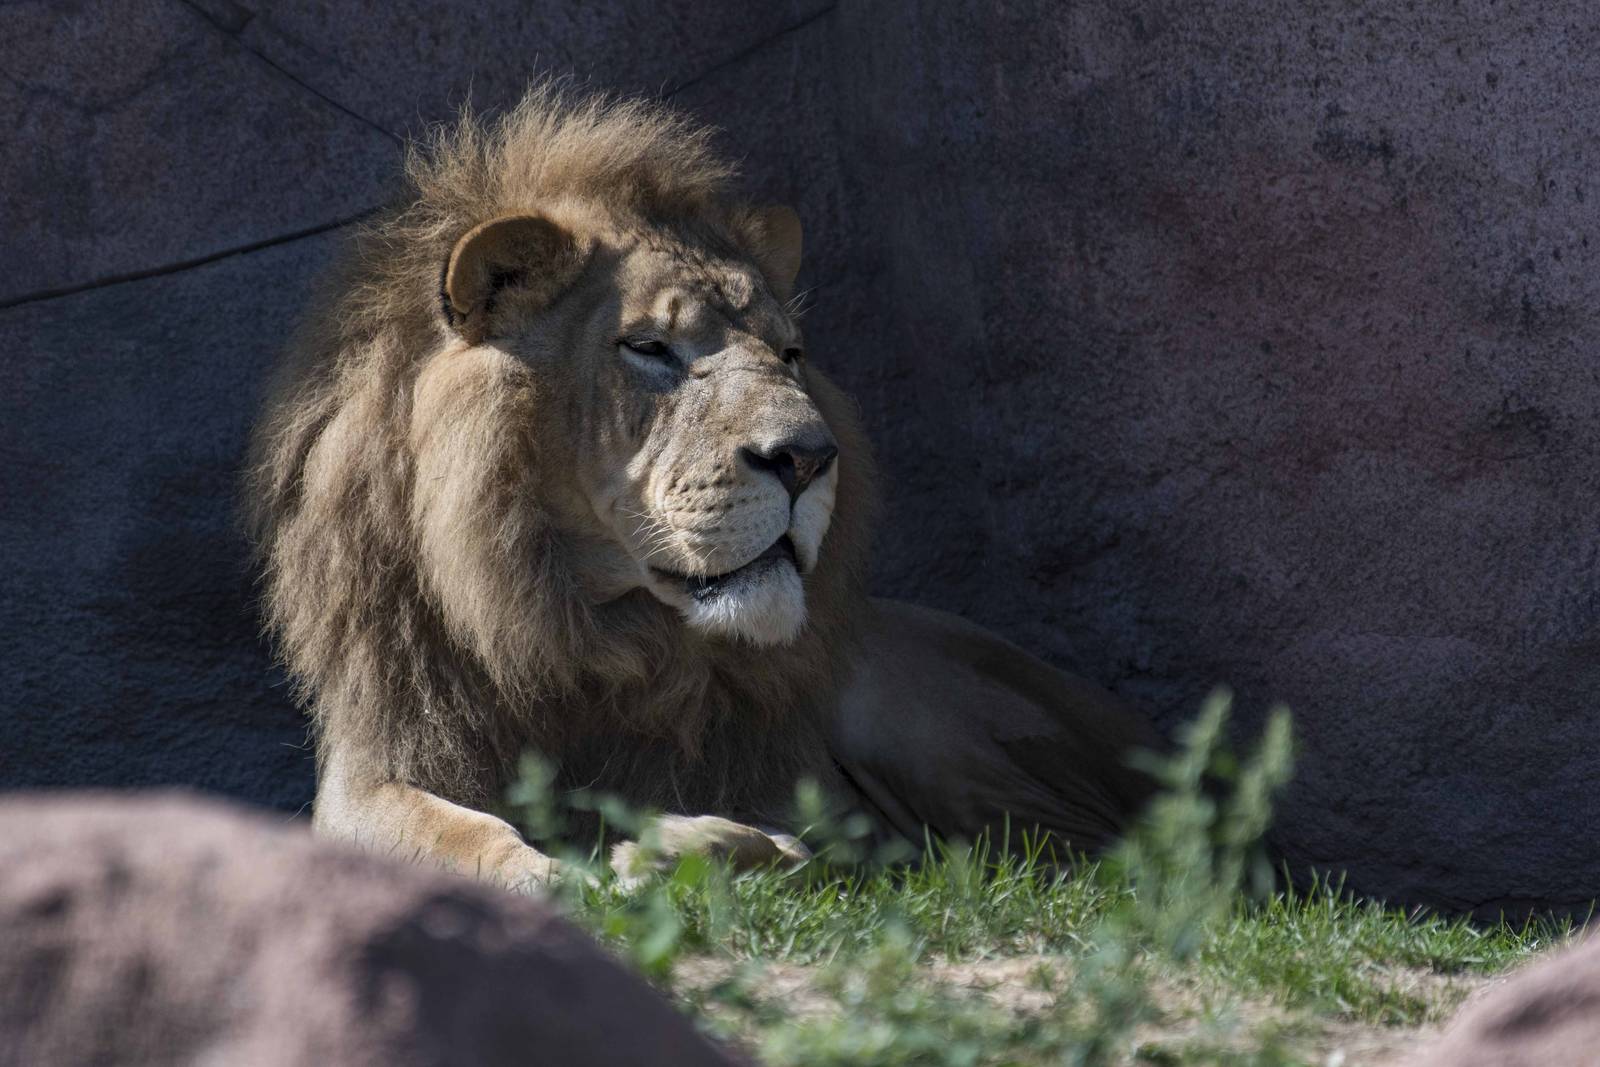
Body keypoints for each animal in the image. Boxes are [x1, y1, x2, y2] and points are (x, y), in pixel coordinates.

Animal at [247, 85, 1161, 887]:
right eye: (651, 348)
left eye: (790, 354)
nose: (808, 457)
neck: (583, 624)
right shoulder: (368, 774)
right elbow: (460, 832)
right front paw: (547, 871)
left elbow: (779, 839)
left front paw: (680, 845)